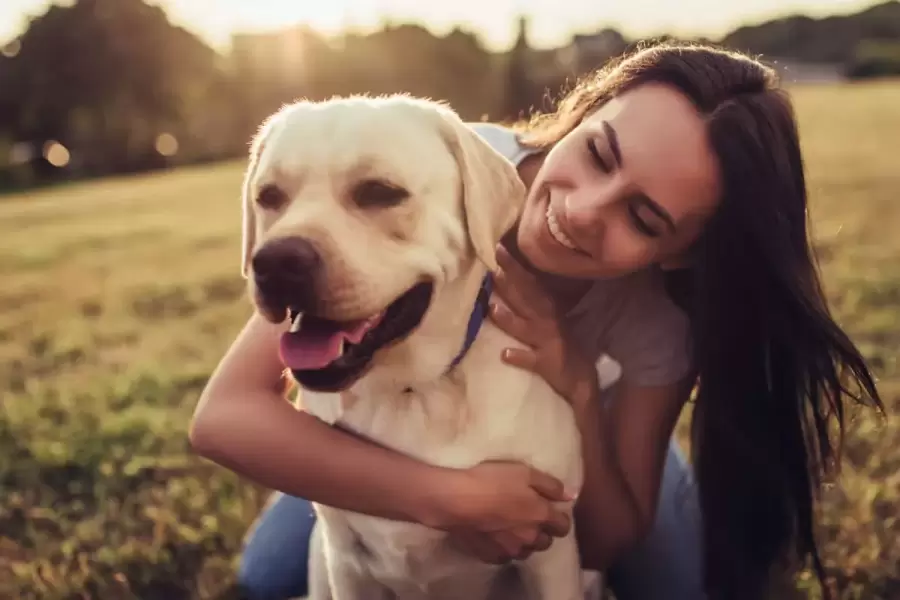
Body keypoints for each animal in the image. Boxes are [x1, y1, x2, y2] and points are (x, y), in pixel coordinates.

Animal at [241, 95, 592, 600]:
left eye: (380, 192)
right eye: (268, 197)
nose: (276, 262)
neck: (413, 392)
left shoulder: (551, 551)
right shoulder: (345, 562)